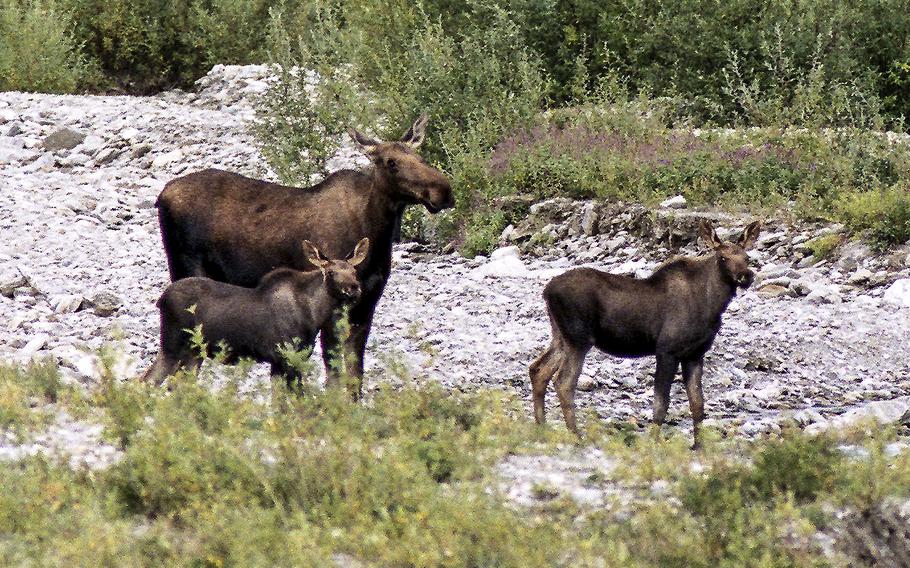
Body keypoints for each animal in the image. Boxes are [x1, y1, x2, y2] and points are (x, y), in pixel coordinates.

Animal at [142, 237, 370, 388]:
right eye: (330, 272)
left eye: (354, 271)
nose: (353, 288)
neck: (314, 315)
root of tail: (160, 300)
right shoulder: (287, 359)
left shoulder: (279, 363)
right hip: (172, 345)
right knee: (147, 381)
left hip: (194, 352)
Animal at [528, 221, 764, 448]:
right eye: (723, 257)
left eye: (747, 258)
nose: (746, 276)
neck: (712, 305)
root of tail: (546, 291)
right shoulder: (667, 350)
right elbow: (661, 403)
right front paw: (652, 442)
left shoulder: (695, 354)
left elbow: (698, 403)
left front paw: (699, 446)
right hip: (579, 339)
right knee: (564, 382)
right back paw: (576, 436)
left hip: (561, 336)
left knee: (538, 369)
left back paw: (542, 428)